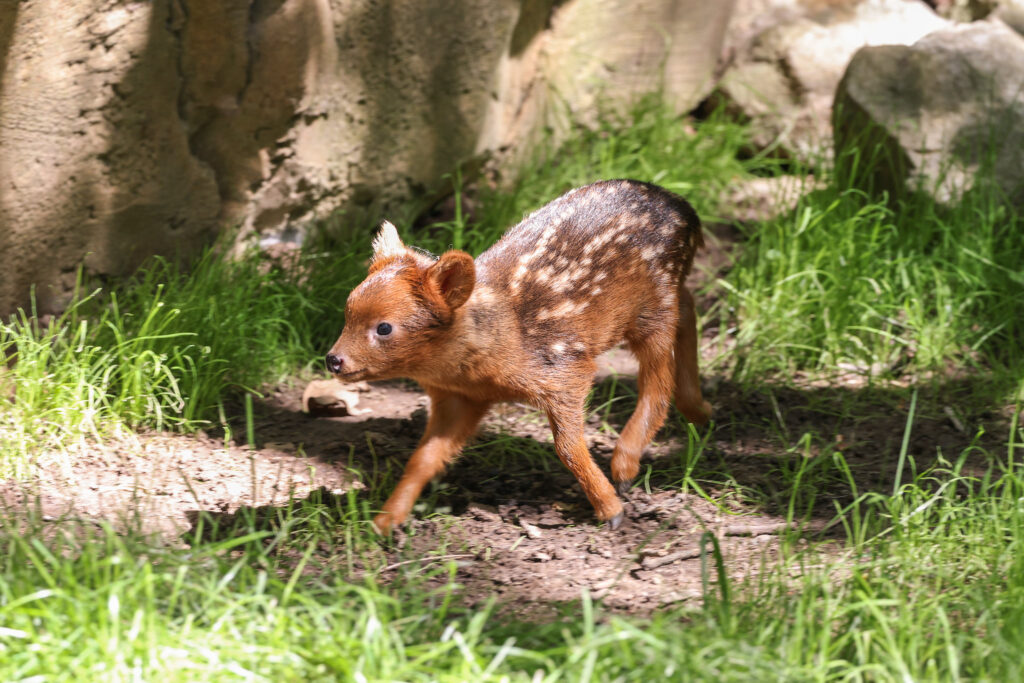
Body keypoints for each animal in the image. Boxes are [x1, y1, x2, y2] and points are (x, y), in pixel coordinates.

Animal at [326, 179, 711, 534]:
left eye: (384, 328)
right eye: (347, 311)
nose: (333, 360)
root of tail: (688, 212)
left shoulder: (566, 369)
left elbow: (567, 447)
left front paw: (611, 510)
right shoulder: (459, 398)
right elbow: (423, 459)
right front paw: (384, 523)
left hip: (654, 303)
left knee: (658, 380)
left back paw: (626, 467)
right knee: (689, 306)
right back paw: (700, 411)